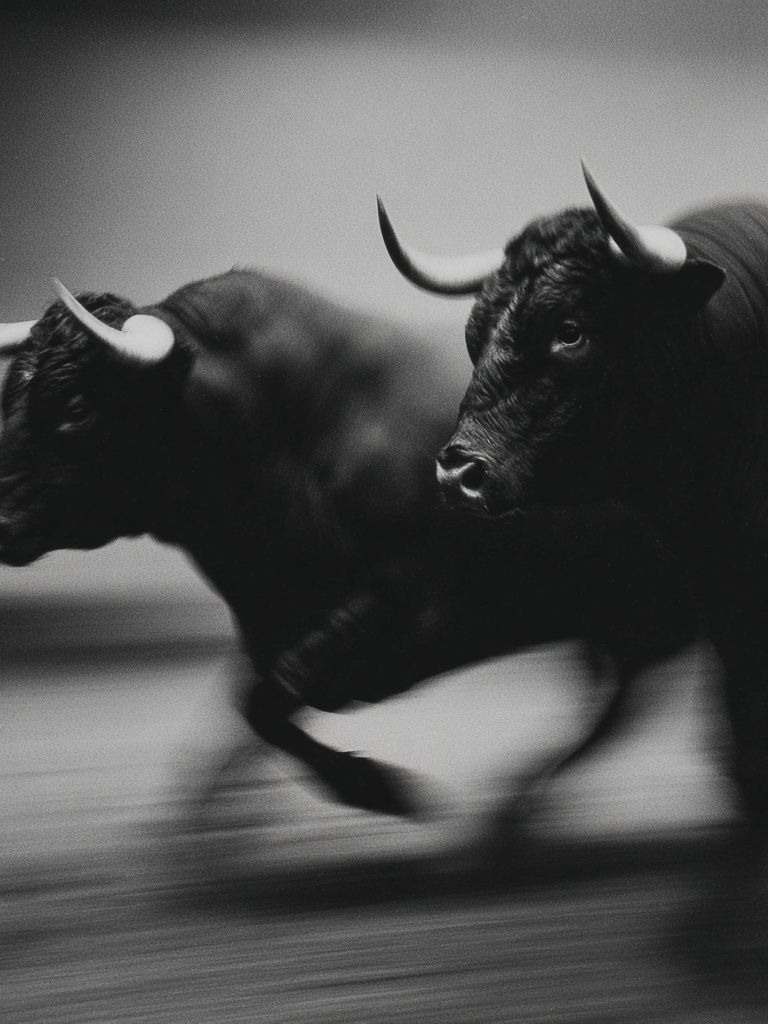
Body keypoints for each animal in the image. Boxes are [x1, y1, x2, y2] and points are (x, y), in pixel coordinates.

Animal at [0, 268, 696, 832]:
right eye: (10, 395)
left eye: (76, 404)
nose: (2, 515)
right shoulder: (278, 625)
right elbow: (251, 708)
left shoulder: (408, 611)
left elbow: (267, 700)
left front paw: (379, 789)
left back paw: (512, 812)